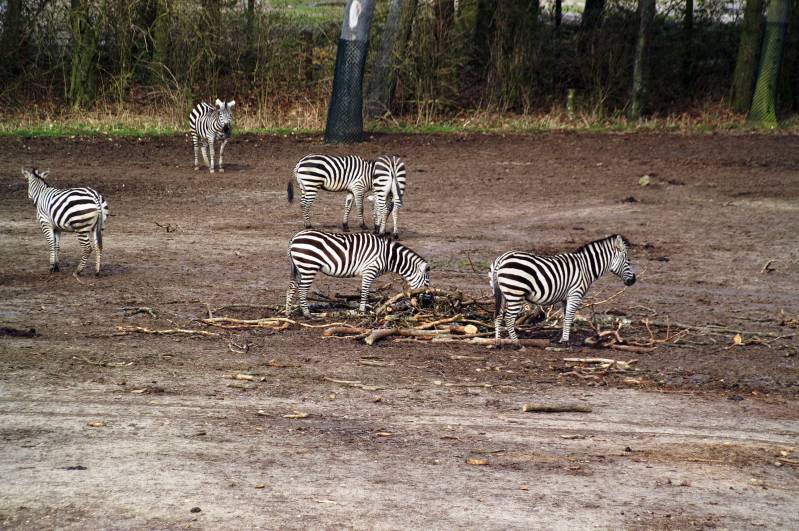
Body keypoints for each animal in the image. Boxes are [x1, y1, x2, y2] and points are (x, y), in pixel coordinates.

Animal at [285, 229, 430, 317]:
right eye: (427, 283)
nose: (428, 303)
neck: (388, 256)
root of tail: (294, 237)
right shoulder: (370, 270)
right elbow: (365, 291)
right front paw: (362, 311)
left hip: (298, 268)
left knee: (291, 287)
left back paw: (288, 313)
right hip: (308, 266)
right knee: (302, 289)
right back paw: (307, 313)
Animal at [490, 235, 636, 346]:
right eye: (628, 260)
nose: (634, 280)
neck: (586, 267)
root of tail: (501, 259)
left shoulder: (566, 297)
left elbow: (566, 317)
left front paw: (563, 337)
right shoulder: (575, 294)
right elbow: (569, 317)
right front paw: (565, 340)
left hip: (503, 294)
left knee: (498, 315)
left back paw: (497, 342)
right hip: (515, 293)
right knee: (508, 318)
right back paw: (517, 344)